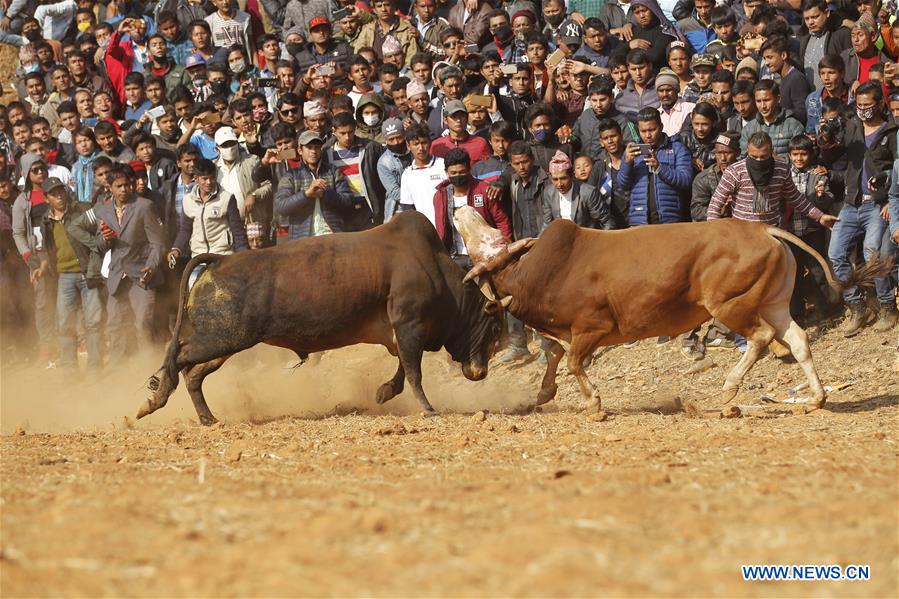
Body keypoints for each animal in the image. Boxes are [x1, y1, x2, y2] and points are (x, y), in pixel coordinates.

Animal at [139, 212, 506, 426]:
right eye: (495, 327)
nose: (481, 372)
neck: (435, 270)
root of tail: (218, 261)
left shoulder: (399, 334)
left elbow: (403, 369)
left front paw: (384, 392)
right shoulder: (409, 325)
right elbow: (414, 372)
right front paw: (428, 408)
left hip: (224, 344)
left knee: (193, 374)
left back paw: (207, 418)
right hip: (221, 338)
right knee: (178, 359)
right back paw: (154, 398)